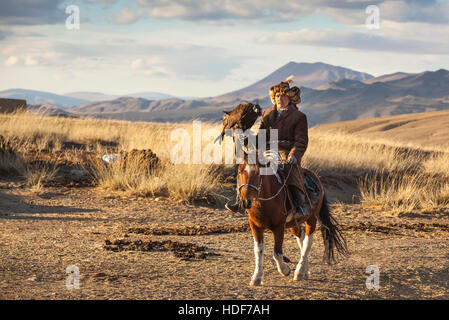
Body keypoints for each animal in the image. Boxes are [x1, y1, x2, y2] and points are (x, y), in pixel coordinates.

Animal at [238, 151, 346, 286]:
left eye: (258, 173)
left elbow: (277, 253)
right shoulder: (255, 226)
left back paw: (299, 272)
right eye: (240, 171)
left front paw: (285, 270)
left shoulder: (279, 227)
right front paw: (256, 277)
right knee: (300, 238)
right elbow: (258, 250)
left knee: (307, 242)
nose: (245, 202)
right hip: (293, 224)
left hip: (311, 219)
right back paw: (305, 270)